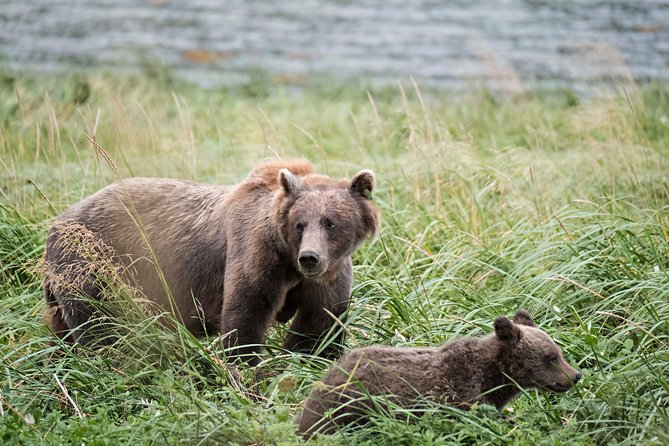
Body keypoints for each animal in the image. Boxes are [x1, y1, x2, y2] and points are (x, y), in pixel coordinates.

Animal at [41, 159, 378, 364]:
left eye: (330, 222)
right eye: (300, 224)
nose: (310, 257)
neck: (288, 261)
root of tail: (56, 222)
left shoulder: (326, 277)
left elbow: (318, 325)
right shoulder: (255, 254)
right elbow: (245, 315)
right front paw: (245, 367)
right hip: (94, 263)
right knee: (100, 325)